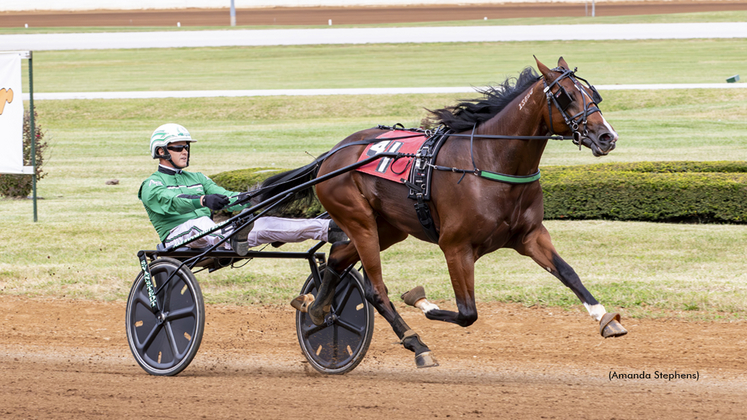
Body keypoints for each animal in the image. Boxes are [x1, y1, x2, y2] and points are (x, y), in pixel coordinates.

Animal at [262, 56, 624, 368]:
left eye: (592, 94)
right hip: (358, 219)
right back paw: (415, 343)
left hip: (389, 228)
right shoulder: (455, 246)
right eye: (566, 96)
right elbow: (467, 313)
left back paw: (316, 309)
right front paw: (421, 301)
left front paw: (605, 318)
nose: (607, 136)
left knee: (337, 260)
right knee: (375, 290)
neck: (491, 160)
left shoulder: (530, 236)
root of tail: (332, 155)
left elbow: (569, 273)